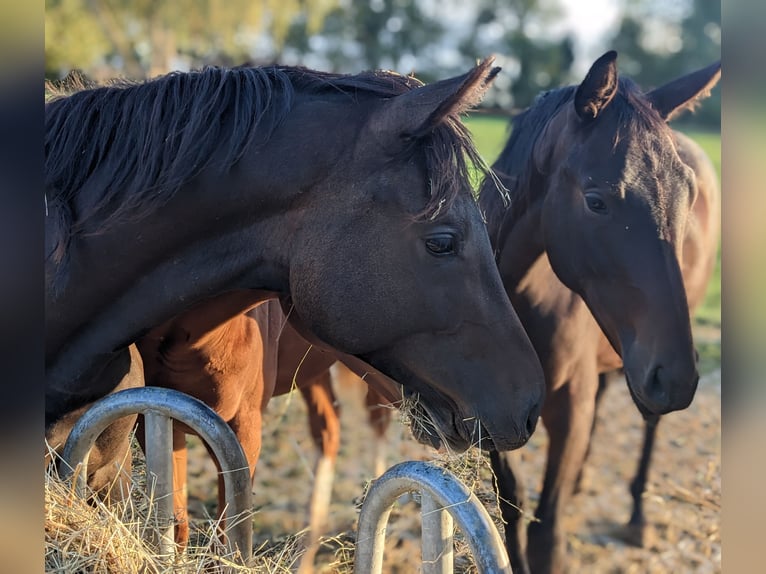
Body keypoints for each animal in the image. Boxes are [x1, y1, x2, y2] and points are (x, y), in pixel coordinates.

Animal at [480, 51, 728, 572]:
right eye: (596, 201)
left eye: (688, 197)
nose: (676, 377)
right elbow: (514, 508)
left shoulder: (571, 407)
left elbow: (547, 532)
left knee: (650, 425)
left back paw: (637, 516)